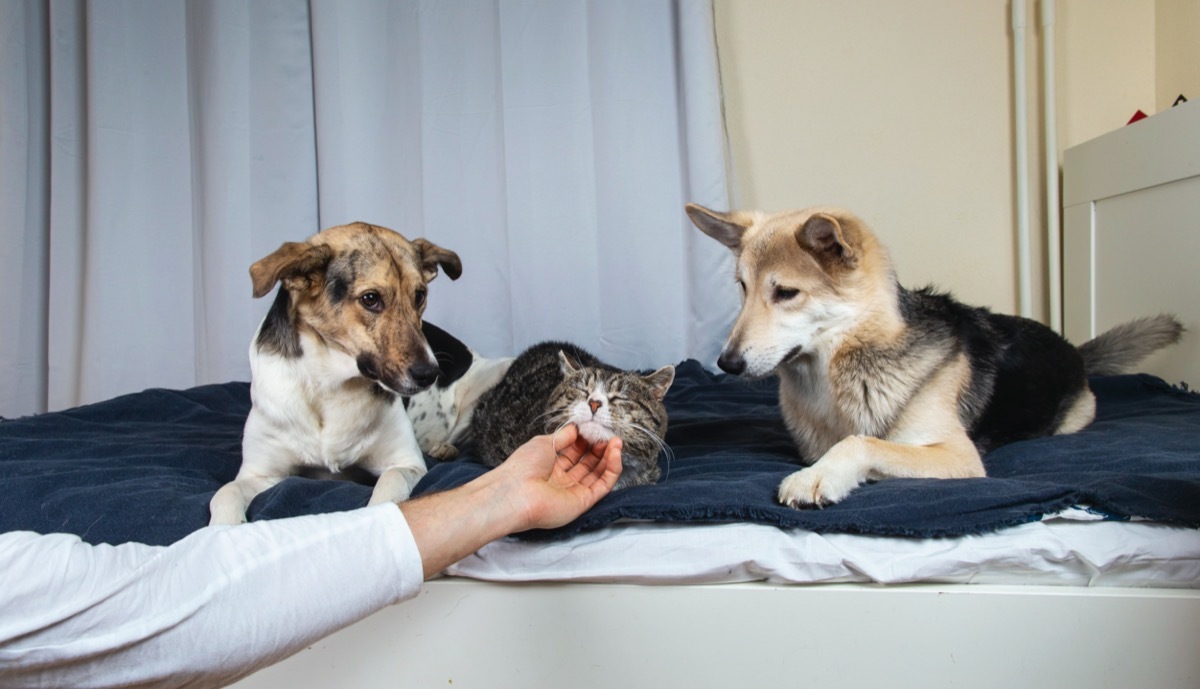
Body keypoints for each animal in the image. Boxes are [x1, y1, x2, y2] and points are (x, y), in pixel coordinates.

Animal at [208, 224, 460, 525]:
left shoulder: (405, 462)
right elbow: (225, 492)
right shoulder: (260, 473)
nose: (429, 373)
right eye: (371, 299)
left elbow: (390, 485)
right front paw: (222, 529)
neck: (331, 384)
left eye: (419, 295)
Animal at [686, 202, 1180, 511]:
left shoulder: (957, 456)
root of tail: (1073, 350)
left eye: (786, 293)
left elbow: (862, 442)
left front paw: (819, 476)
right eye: (743, 288)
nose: (726, 364)